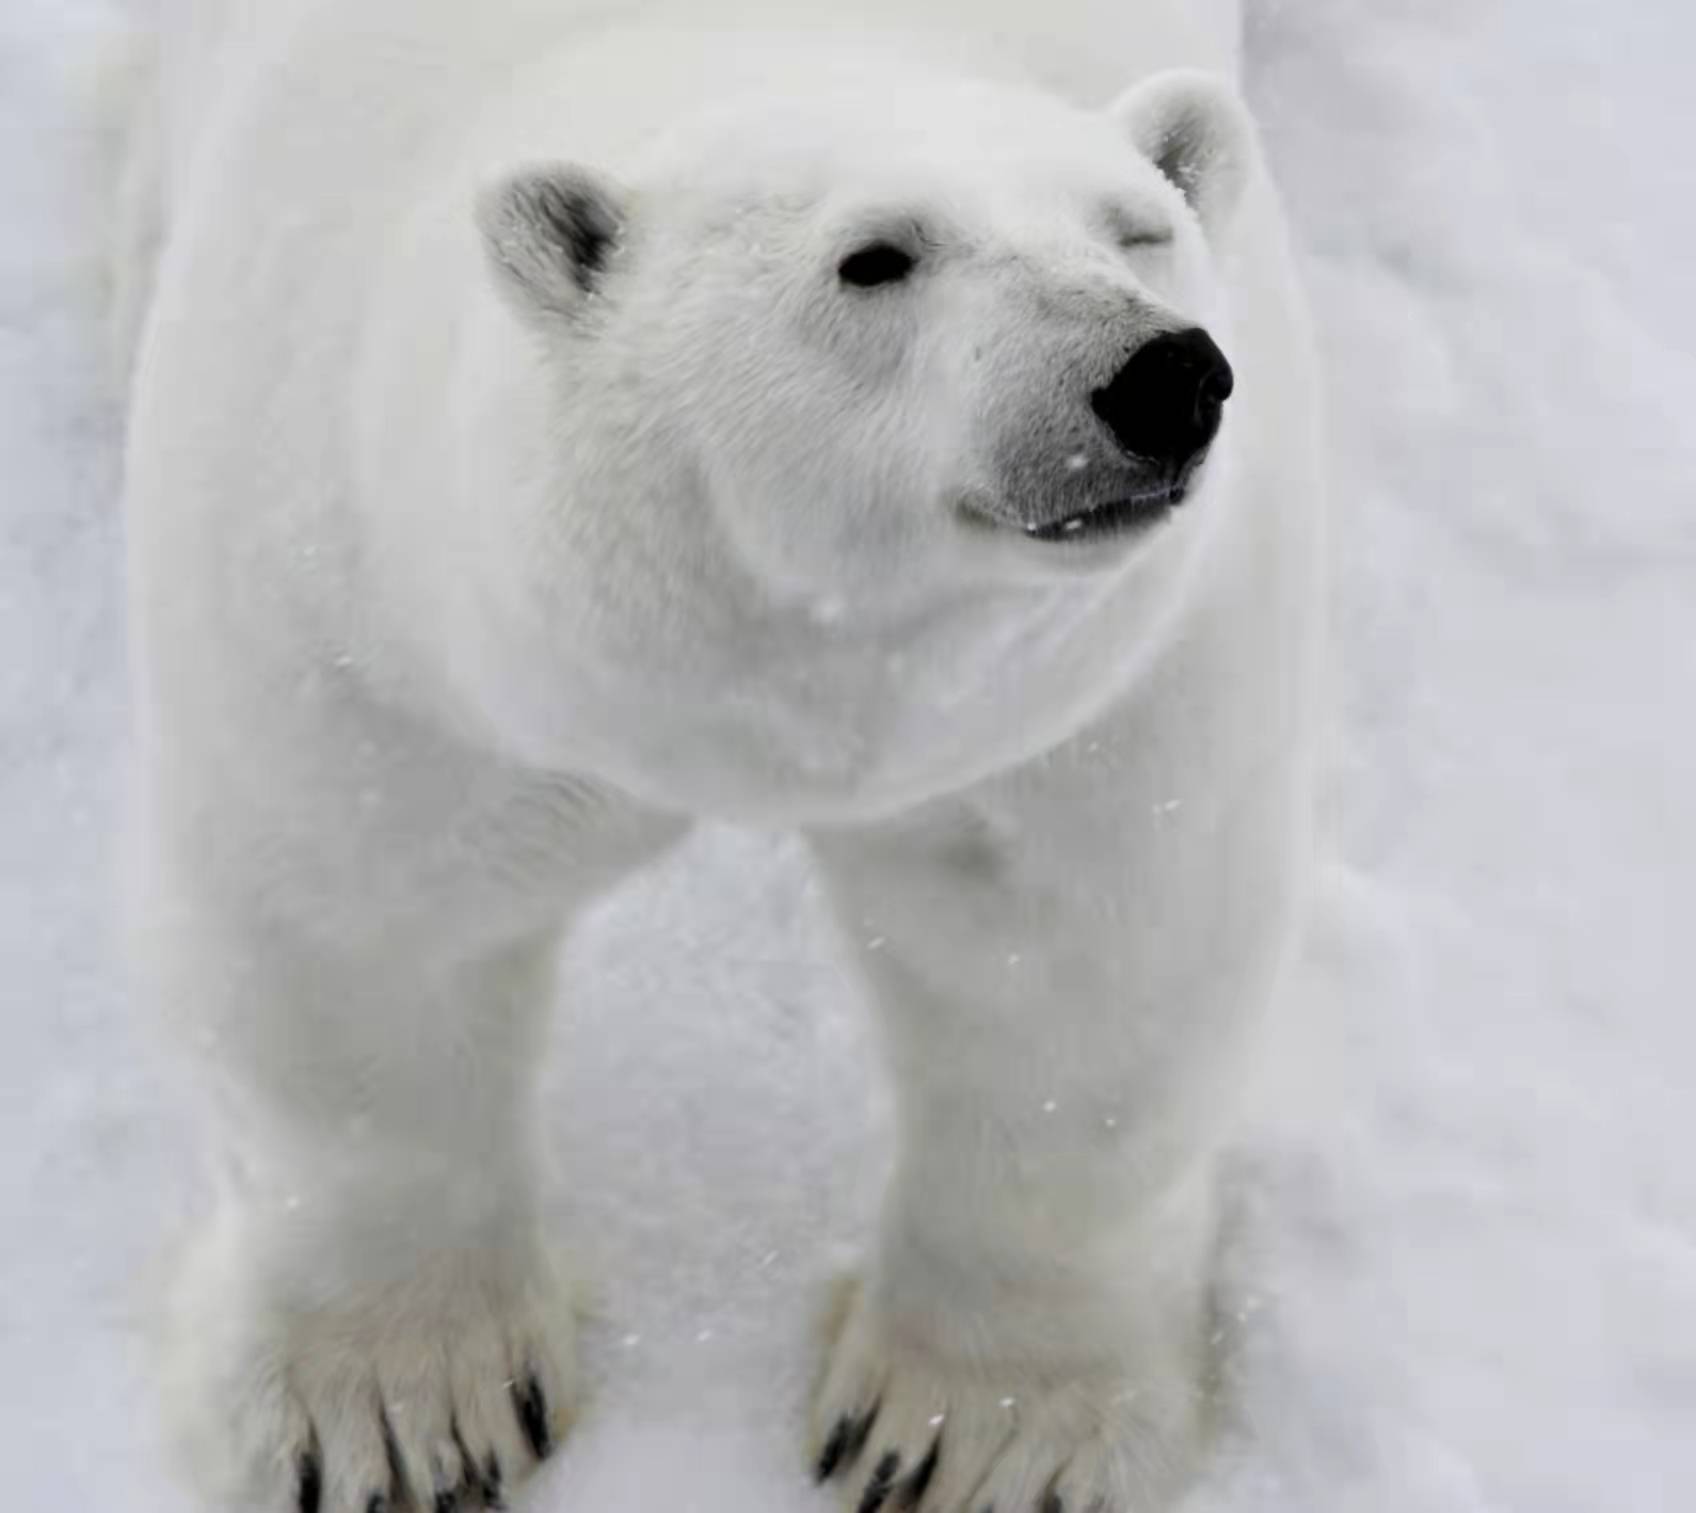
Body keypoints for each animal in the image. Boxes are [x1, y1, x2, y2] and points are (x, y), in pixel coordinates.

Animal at [125, 0, 1322, 1506]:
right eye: (876, 257)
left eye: (1136, 229)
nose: (1161, 375)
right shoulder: (367, 612)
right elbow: (354, 942)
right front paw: (399, 1415)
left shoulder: (1095, 694)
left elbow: (1080, 980)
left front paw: (971, 1436)